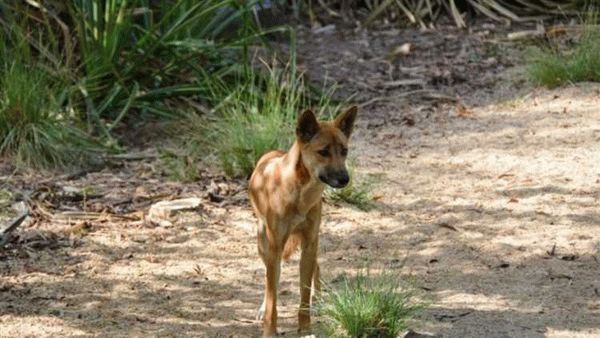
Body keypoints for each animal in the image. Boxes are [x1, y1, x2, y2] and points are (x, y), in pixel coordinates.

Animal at [247, 105, 356, 336]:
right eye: (323, 152)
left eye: (344, 151)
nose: (345, 179)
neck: (301, 194)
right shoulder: (275, 247)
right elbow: (272, 297)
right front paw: (269, 330)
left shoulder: (309, 243)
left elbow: (304, 293)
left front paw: (305, 327)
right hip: (263, 243)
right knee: (270, 280)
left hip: (312, 243)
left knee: (316, 267)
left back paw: (319, 298)